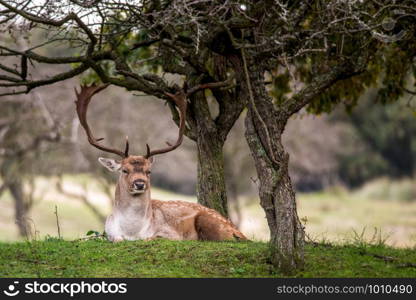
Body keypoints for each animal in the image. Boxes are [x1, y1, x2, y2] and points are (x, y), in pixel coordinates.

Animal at [74, 84, 245, 241]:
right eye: (124, 170)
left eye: (148, 171)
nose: (140, 183)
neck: (132, 233)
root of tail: (235, 228)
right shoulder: (110, 234)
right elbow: (117, 239)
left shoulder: (170, 234)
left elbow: (151, 238)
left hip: (211, 222)